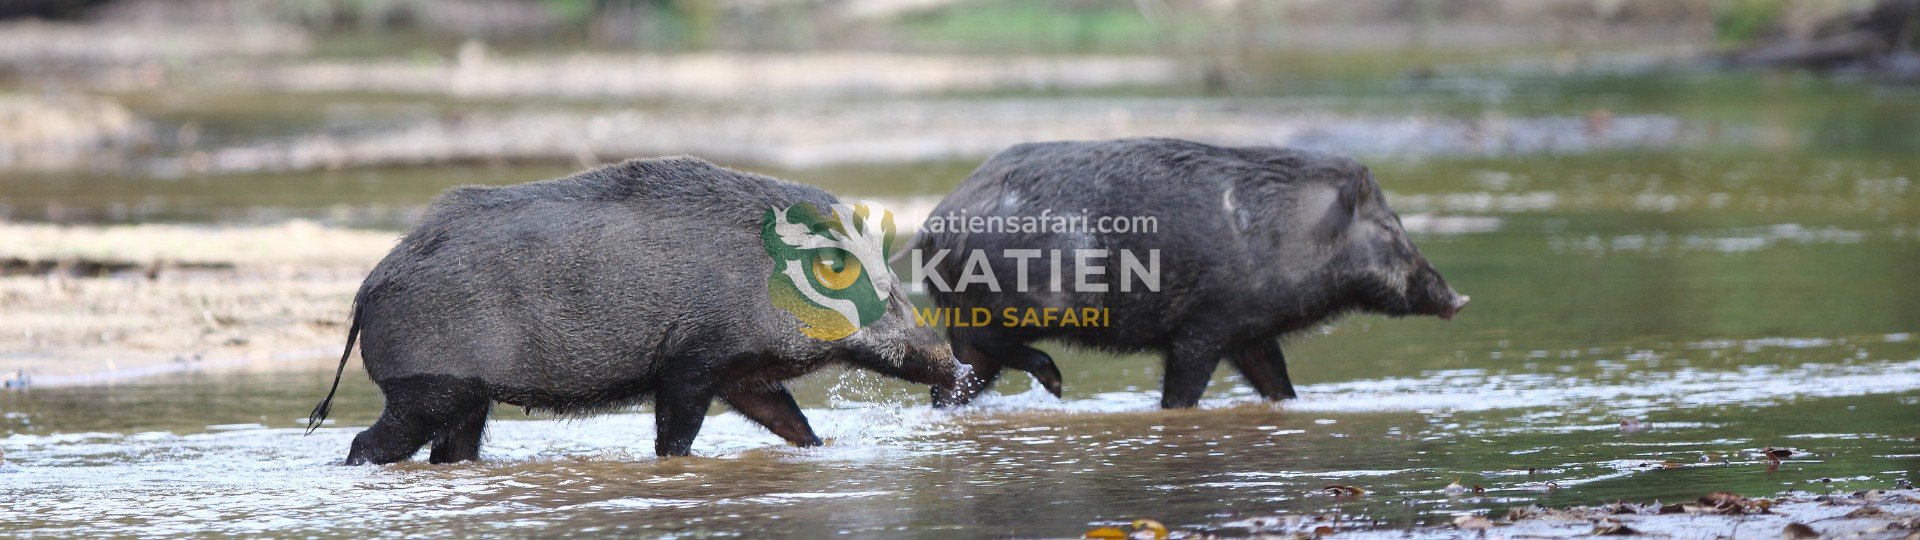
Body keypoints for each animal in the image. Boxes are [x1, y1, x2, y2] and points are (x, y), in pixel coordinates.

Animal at [306, 156, 968, 463]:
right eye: (886, 292)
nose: (956, 369)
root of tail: (368, 288)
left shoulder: (743, 372)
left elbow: (791, 422)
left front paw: (821, 450)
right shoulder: (692, 360)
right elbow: (674, 434)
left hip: (468, 399)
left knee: (453, 452)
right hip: (427, 388)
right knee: (366, 443)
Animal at [912, 138, 1468, 408]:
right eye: (1391, 228)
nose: (1459, 300)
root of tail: (934, 227)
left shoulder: (1250, 333)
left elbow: (1280, 387)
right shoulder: (1203, 328)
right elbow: (1179, 397)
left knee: (951, 383)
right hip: (1034, 304)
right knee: (992, 344)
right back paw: (1056, 383)